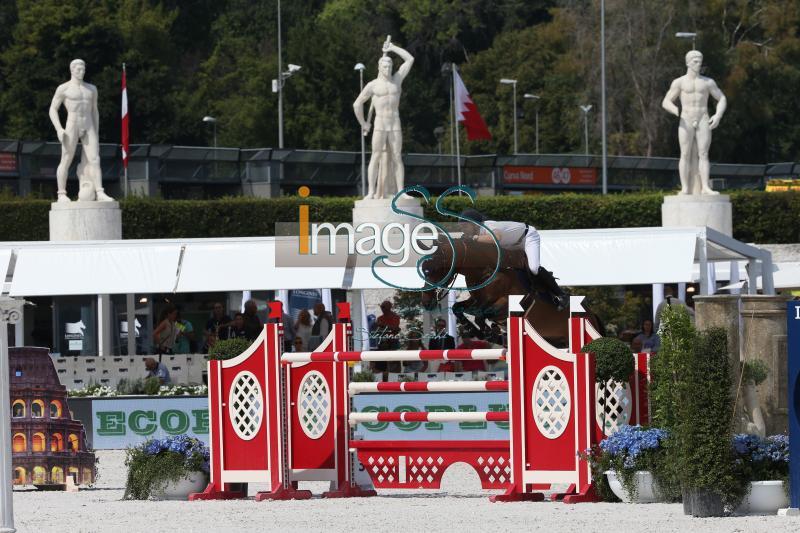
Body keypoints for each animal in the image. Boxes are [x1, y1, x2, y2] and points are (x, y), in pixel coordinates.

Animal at [418, 235, 600, 348]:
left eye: (433, 270)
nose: (426, 303)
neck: (485, 271)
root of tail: (592, 315)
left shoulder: (507, 304)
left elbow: (481, 314)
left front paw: (487, 331)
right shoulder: (476, 300)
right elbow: (459, 308)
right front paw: (477, 330)